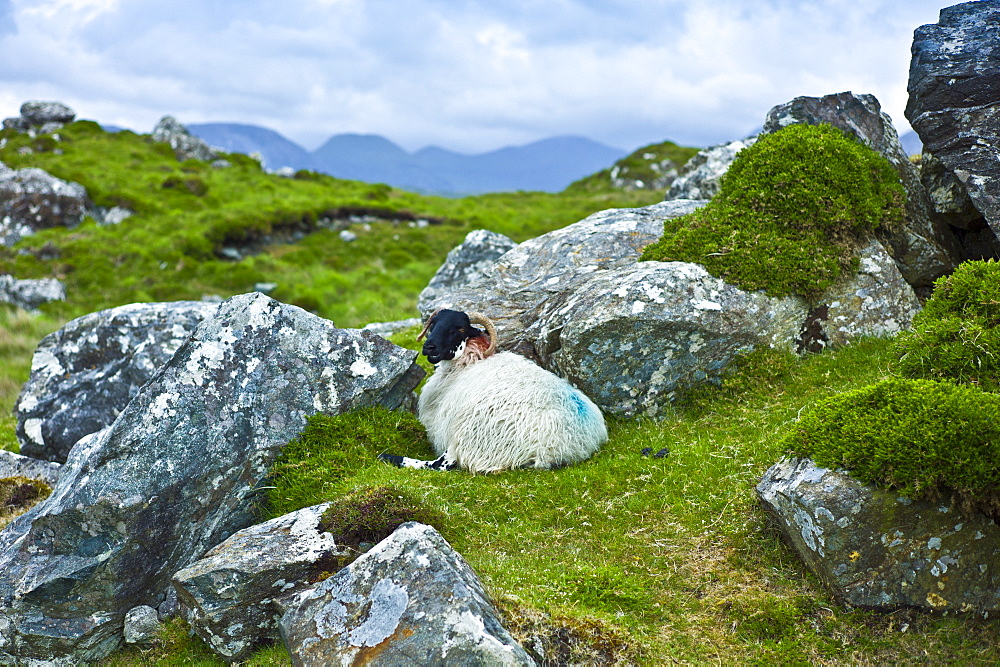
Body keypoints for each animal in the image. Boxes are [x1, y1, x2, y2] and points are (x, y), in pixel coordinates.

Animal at [376, 310, 604, 474]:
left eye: (460, 328)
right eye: (433, 324)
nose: (429, 347)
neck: (467, 363)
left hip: (469, 433)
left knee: (442, 465)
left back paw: (389, 457)